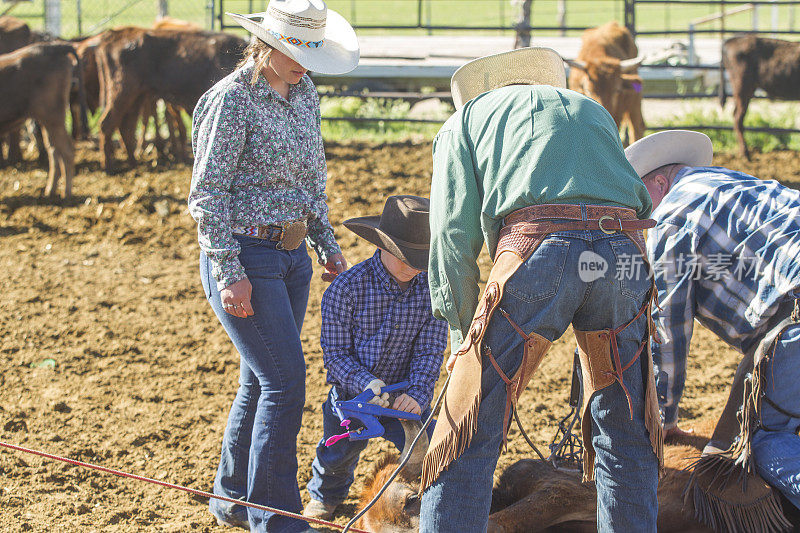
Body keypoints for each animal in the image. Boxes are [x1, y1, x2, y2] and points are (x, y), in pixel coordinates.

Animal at [94, 26, 245, 170]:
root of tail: (113, 34)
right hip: (121, 92)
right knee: (107, 124)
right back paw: (108, 167)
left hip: (137, 96)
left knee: (126, 126)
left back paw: (133, 162)